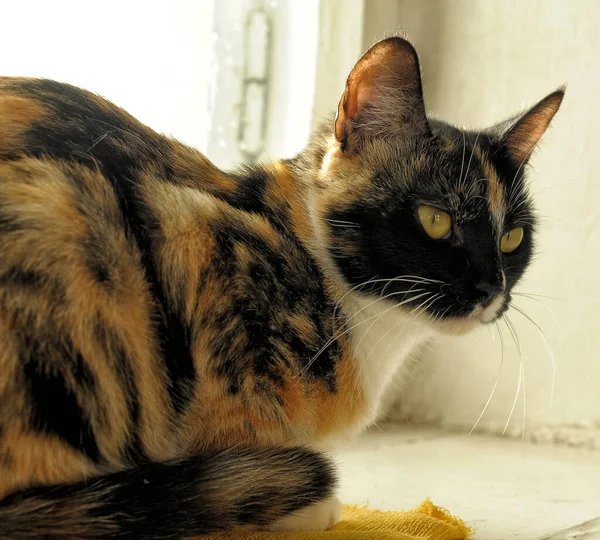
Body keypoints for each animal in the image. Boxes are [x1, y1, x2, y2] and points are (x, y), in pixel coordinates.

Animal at [0, 35, 564, 536]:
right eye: (435, 220)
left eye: (512, 237)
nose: (490, 288)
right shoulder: (193, 238)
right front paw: (292, 503)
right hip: (73, 220)